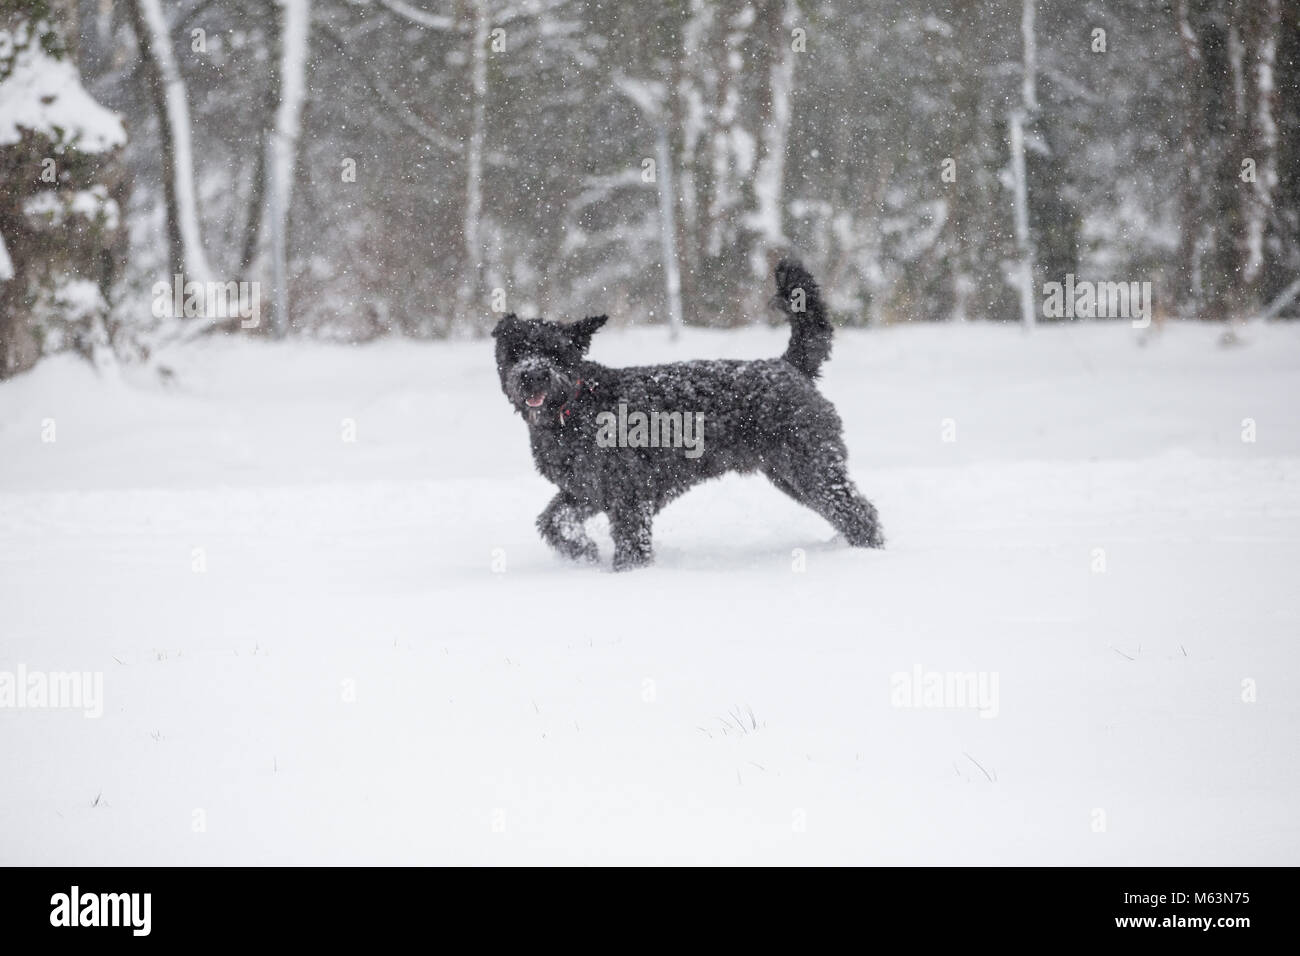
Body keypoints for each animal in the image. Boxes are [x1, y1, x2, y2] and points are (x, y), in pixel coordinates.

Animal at [493, 257, 883, 567]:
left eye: (556, 353)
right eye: (516, 350)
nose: (533, 375)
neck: (574, 408)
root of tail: (788, 365)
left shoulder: (629, 495)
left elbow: (630, 546)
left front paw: (625, 575)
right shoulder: (583, 491)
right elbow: (552, 521)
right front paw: (583, 551)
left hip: (810, 467)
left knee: (858, 511)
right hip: (789, 475)